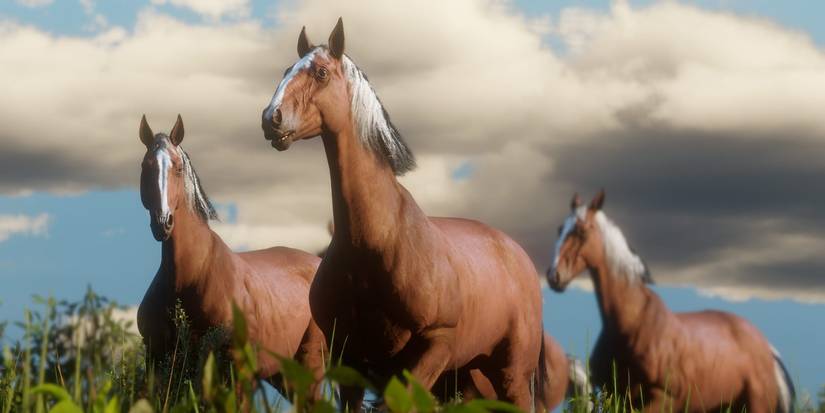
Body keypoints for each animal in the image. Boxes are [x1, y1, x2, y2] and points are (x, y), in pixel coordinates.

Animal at [136, 115, 326, 398]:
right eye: (145, 167)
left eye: (178, 168)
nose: (163, 223)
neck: (188, 277)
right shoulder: (160, 367)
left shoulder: (236, 371)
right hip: (284, 376)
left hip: (310, 367)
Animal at [259, 19, 546, 411]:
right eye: (287, 70)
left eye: (320, 72)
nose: (271, 119)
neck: (376, 242)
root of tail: (518, 255)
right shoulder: (350, 361)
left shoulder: (433, 347)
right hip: (467, 376)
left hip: (511, 374)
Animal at [546, 190, 795, 412]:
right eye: (559, 229)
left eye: (581, 231)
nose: (553, 276)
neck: (630, 322)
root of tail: (769, 353)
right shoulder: (619, 398)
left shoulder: (663, 399)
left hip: (756, 406)